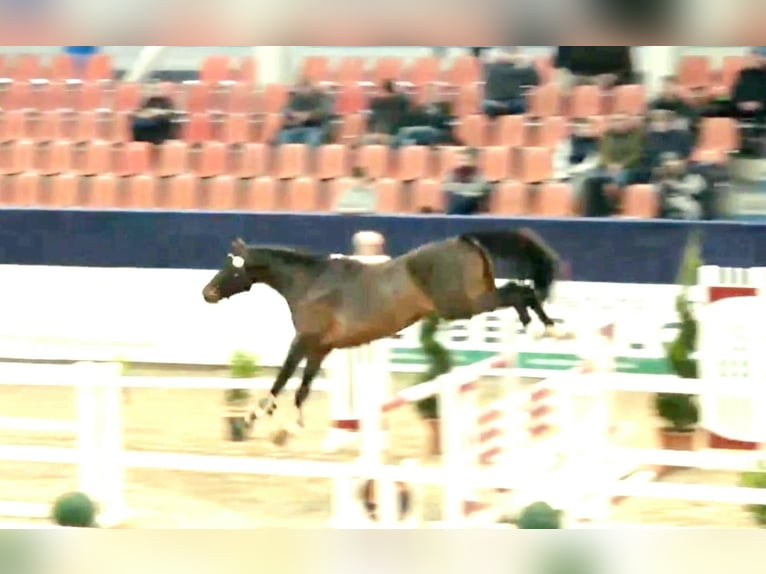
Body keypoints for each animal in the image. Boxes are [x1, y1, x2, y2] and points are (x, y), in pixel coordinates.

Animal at [201, 228, 561, 445]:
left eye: (232, 267)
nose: (207, 293)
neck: (310, 282)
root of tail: (463, 239)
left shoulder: (304, 341)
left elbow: (281, 381)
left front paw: (251, 420)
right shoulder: (320, 348)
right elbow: (302, 389)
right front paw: (286, 428)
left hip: (463, 305)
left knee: (519, 291)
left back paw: (542, 326)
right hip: (473, 300)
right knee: (521, 292)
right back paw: (545, 327)